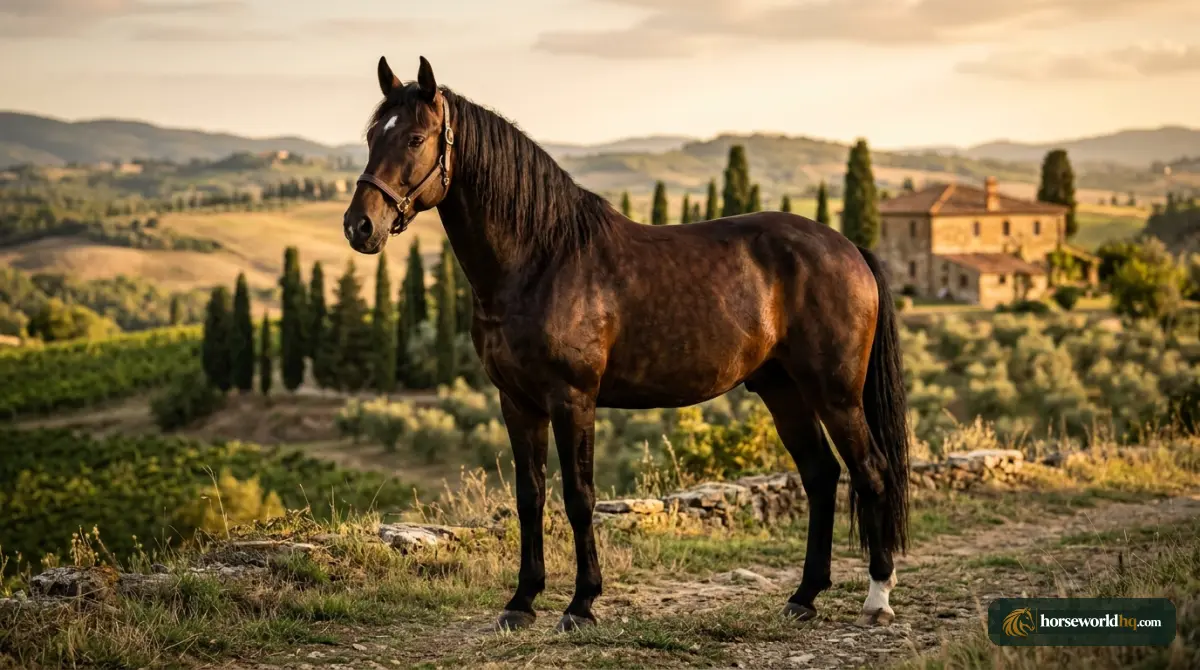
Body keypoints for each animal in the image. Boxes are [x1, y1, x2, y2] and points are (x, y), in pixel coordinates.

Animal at [343, 56, 910, 633]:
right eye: (372, 135)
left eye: (415, 138)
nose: (359, 226)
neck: (542, 259)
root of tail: (849, 248)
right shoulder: (518, 402)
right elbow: (530, 497)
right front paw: (521, 601)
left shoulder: (573, 399)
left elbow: (578, 497)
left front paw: (581, 603)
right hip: (784, 390)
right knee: (821, 476)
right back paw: (804, 596)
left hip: (836, 394)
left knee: (872, 472)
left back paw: (877, 597)